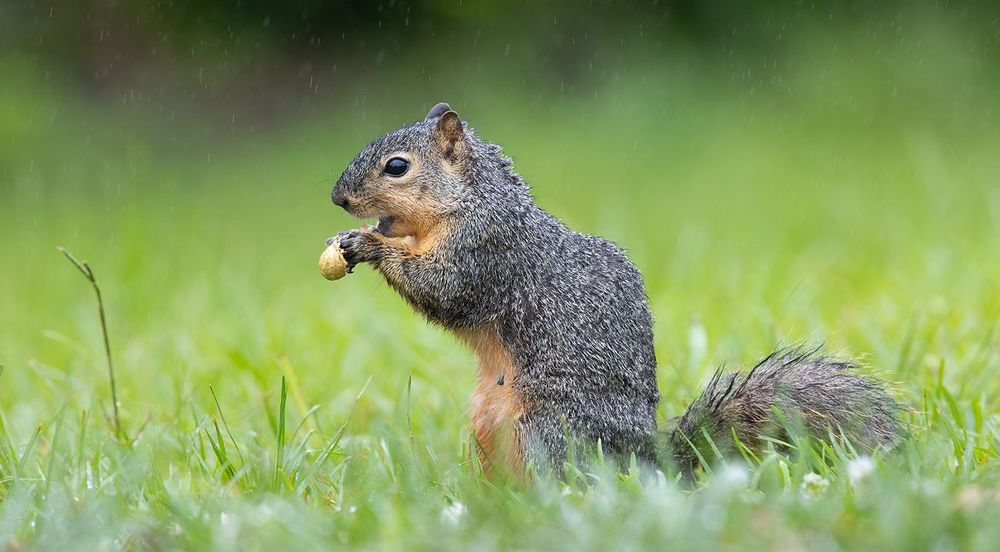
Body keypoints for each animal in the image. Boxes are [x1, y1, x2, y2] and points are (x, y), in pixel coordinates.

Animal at [327, 102, 903, 478]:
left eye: (397, 166)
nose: (338, 199)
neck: (468, 202)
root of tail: (651, 467)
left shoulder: (488, 249)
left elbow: (445, 289)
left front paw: (369, 244)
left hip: (548, 426)